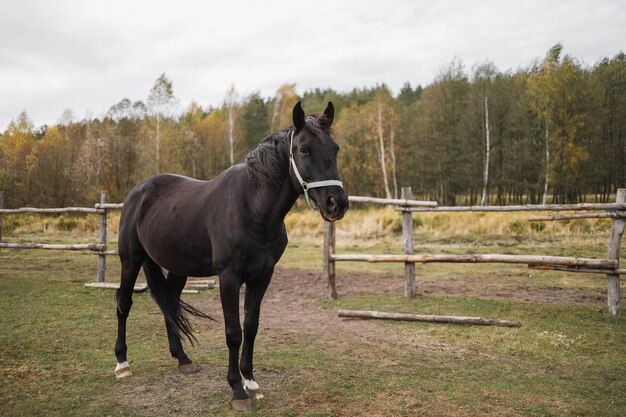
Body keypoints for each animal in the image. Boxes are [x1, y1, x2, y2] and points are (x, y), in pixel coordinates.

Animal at [114, 101, 348, 410]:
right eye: (304, 149)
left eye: (335, 149)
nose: (337, 203)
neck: (252, 208)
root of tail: (138, 192)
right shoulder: (229, 278)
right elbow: (233, 332)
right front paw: (237, 390)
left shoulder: (262, 276)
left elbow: (251, 326)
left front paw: (251, 382)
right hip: (130, 260)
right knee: (123, 303)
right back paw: (121, 363)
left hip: (178, 268)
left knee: (170, 305)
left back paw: (183, 359)